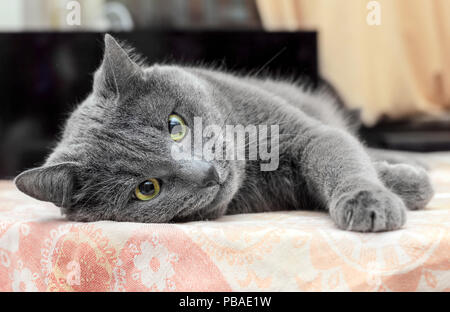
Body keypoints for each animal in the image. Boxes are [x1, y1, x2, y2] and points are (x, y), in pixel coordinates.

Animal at [15, 35, 434, 233]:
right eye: (146, 188)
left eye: (175, 126)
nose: (208, 173)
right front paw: (401, 188)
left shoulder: (306, 133)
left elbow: (340, 158)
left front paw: (374, 200)